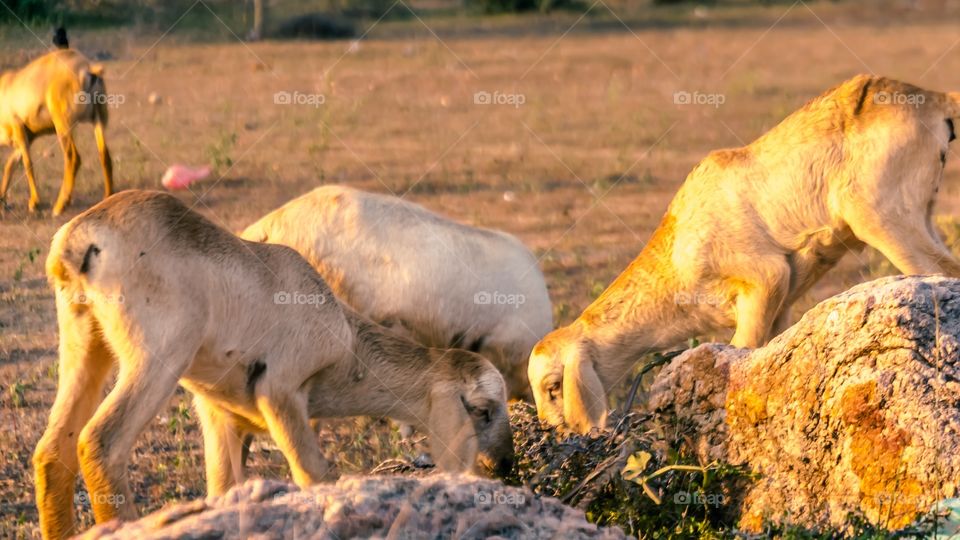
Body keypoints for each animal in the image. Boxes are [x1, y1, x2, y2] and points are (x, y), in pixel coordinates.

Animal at [0, 32, 113, 215]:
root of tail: (87, 69)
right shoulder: (26, 138)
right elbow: (11, 164)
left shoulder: (19, 129)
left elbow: (27, 164)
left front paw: (34, 203)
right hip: (98, 120)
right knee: (104, 154)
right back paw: (108, 198)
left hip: (63, 125)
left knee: (73, 157)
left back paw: (60, 206)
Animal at [33, 190, 513, 539]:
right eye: (483, 409)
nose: (504, 469)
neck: (345, 338)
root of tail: (81, 236)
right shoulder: (281, 393)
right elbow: (315, 475)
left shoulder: (220, 417)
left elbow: (224, 490)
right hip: (155, 362)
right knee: (101, 442)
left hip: (85, 348)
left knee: (53, 450)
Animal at [529, 75, 960, 434]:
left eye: (553, 386)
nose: (557, 433)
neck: (676, 253)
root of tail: (934, 99)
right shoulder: (781, 304)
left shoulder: (766, 280)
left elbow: (743, 350)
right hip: (921, 215)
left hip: (881, 218)